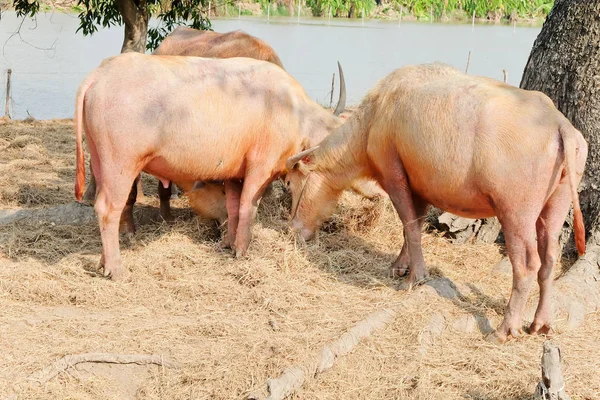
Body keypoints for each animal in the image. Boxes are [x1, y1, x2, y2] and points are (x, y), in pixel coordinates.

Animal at [284, 63, 584, 344]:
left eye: (292, 180)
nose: (293, 229)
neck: (375, 117)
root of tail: (559, 124)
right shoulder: (420, 186)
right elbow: (413, 226)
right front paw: (399, 266)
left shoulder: (394, 176)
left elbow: (409, 225)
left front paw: (414, 277)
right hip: (556, 204)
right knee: (549, 257)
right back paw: (541, 323)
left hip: (515, 212)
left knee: (527, 264)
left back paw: (504, 329)